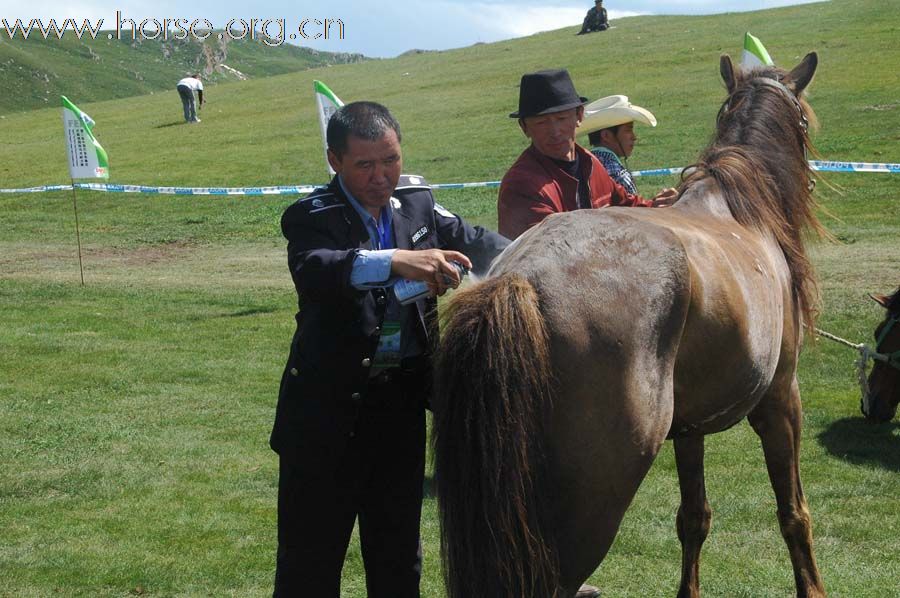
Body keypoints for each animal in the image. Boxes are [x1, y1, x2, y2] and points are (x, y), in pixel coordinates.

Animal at [432, 52, 828, 598]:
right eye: (805, 119)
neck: (741, 210)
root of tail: (522, 277)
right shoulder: (782, 401)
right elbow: (794, 514)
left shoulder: (690, 427)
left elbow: (694, 517)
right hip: (591, 507)